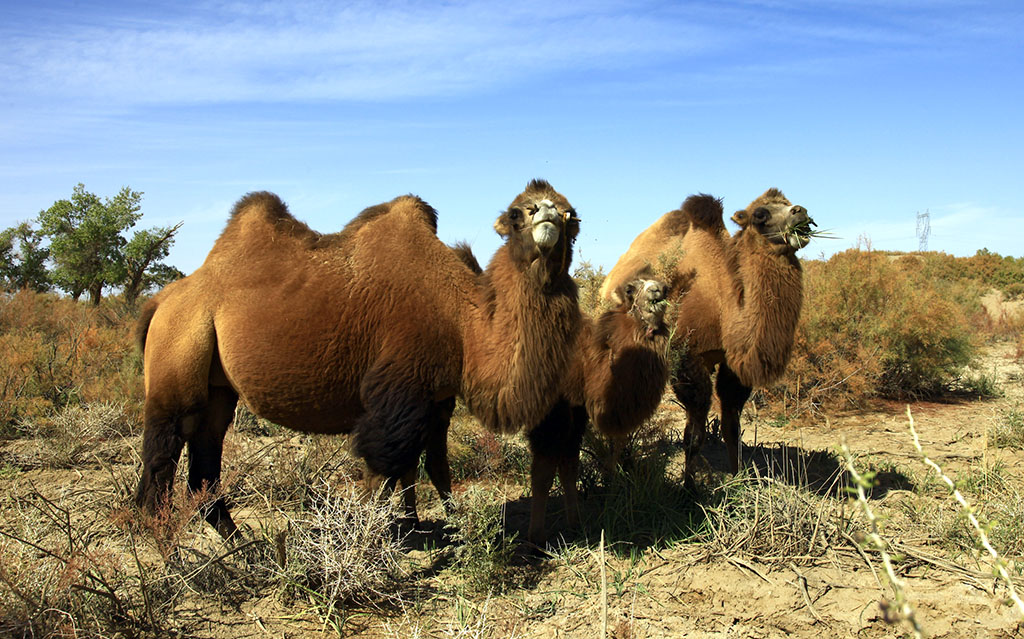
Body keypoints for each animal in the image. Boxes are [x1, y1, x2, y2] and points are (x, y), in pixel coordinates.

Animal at [136, 178, 585, 532]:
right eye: (517, 212)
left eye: (571, 214)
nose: (546, 213)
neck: (461, 317)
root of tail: (159, 302)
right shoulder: (397, 394)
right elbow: (381, 473)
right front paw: (374, 539)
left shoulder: (435, 399)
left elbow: (428, 466)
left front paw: (426, 525)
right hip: (177, 355)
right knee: (160, 462)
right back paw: (169, 555)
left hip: (216, 386)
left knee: (204, 459)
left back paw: (241, 549)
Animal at [598, 188, 815, 483]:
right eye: (760, 214)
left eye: (788, 203)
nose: (800, 212)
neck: (723, 304)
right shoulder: (688, 359)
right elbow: (694, 434)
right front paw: (688, 486)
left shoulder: (731, 364)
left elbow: (731, 426)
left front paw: (737, 477)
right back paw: (612, 472)